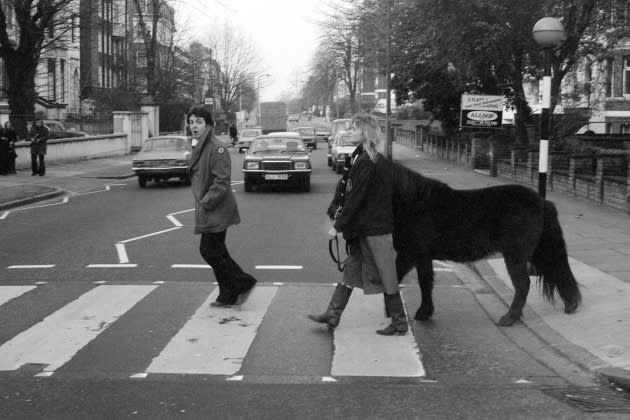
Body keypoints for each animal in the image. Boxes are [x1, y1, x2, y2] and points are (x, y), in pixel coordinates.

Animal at [392, 162, 584, 326]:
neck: (416, 203)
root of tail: (543, 202)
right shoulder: (422, 256)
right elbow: (425, 282)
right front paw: (424, 312)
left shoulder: (410, 254)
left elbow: (397, 277)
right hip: (537, 251)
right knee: (556, 270)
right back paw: (570, 304)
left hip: (516, 256)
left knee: (523, 284)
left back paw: (510, 317)